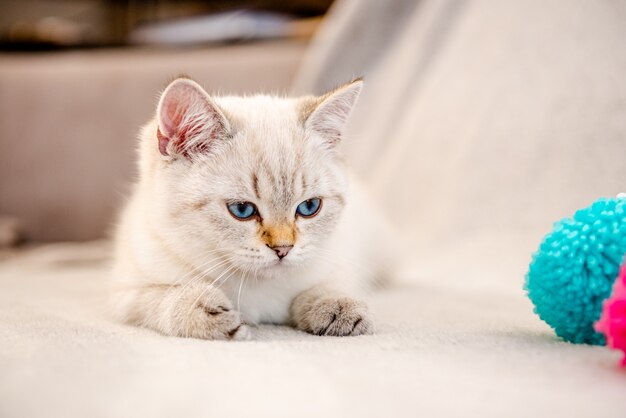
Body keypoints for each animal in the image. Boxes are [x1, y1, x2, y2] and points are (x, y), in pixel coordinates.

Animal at [109, 77, 388, 340]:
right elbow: (162, 297)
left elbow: (326, 286)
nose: (283, 249)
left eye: (309, 207)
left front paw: (338, 307)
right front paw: (207, 313)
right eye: (242, 210)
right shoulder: (122, 292)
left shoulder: (340, 258)